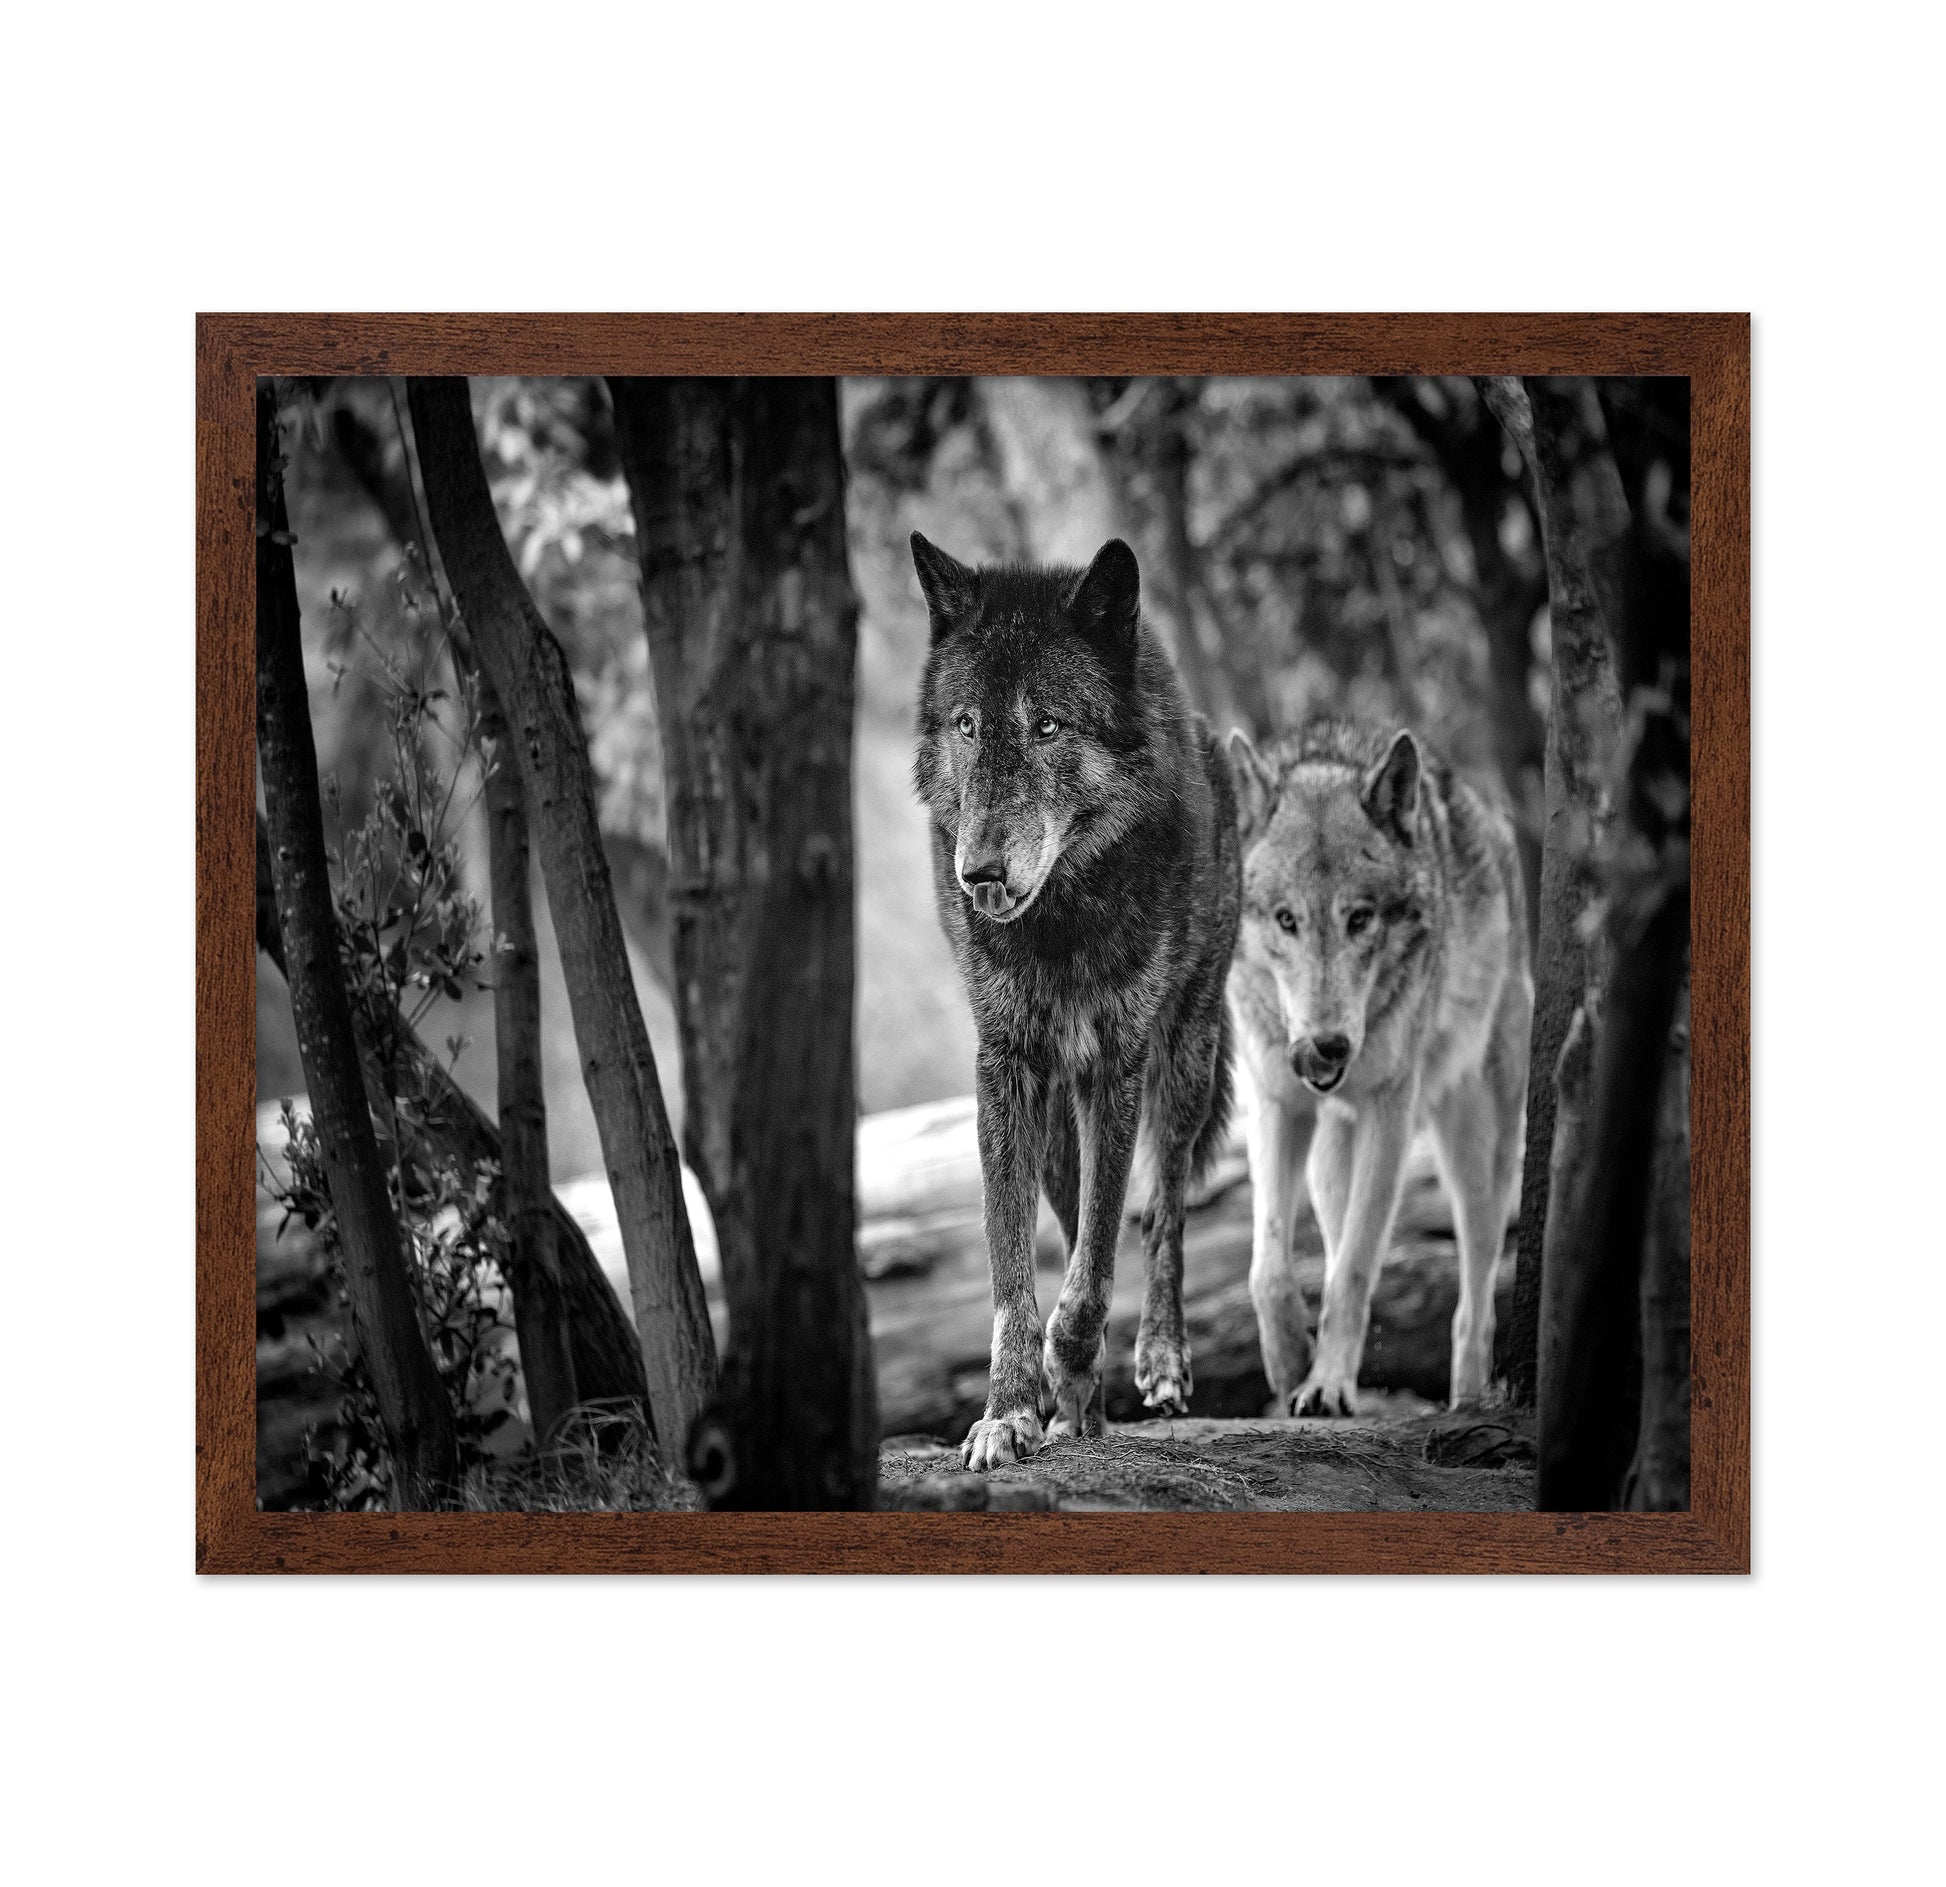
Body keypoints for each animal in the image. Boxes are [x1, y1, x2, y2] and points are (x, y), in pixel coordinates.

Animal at [910, 532, 1241, 1469]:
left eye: (1048, 724)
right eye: (967, 724)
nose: (978, 872)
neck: (1058, 922)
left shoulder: (1117, 1064)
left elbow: (1096, 1264)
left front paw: (1068, 1359)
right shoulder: (1005, 1066)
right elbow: (1012, 1271)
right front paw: (1011, 1410)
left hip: (1185, 1055)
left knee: (1163, 1211)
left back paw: (1158, 1359)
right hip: (1057, 1117)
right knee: (1069, 1217)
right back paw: (1077, 1409)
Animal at [1226, 719, 1533, 1415]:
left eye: (1360, 918)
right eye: (1286, 920)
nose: (1326, 1047)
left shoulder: (1389, 1112)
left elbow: (1356, 1268)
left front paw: (1328, 1382)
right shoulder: (1275, 1103)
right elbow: (1268, 1266)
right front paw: (1292, 1363)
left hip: (1476, 1152)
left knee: (1475, 1300)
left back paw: (1468, 1402)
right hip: (1328, 1160)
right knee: (1333, 1235)